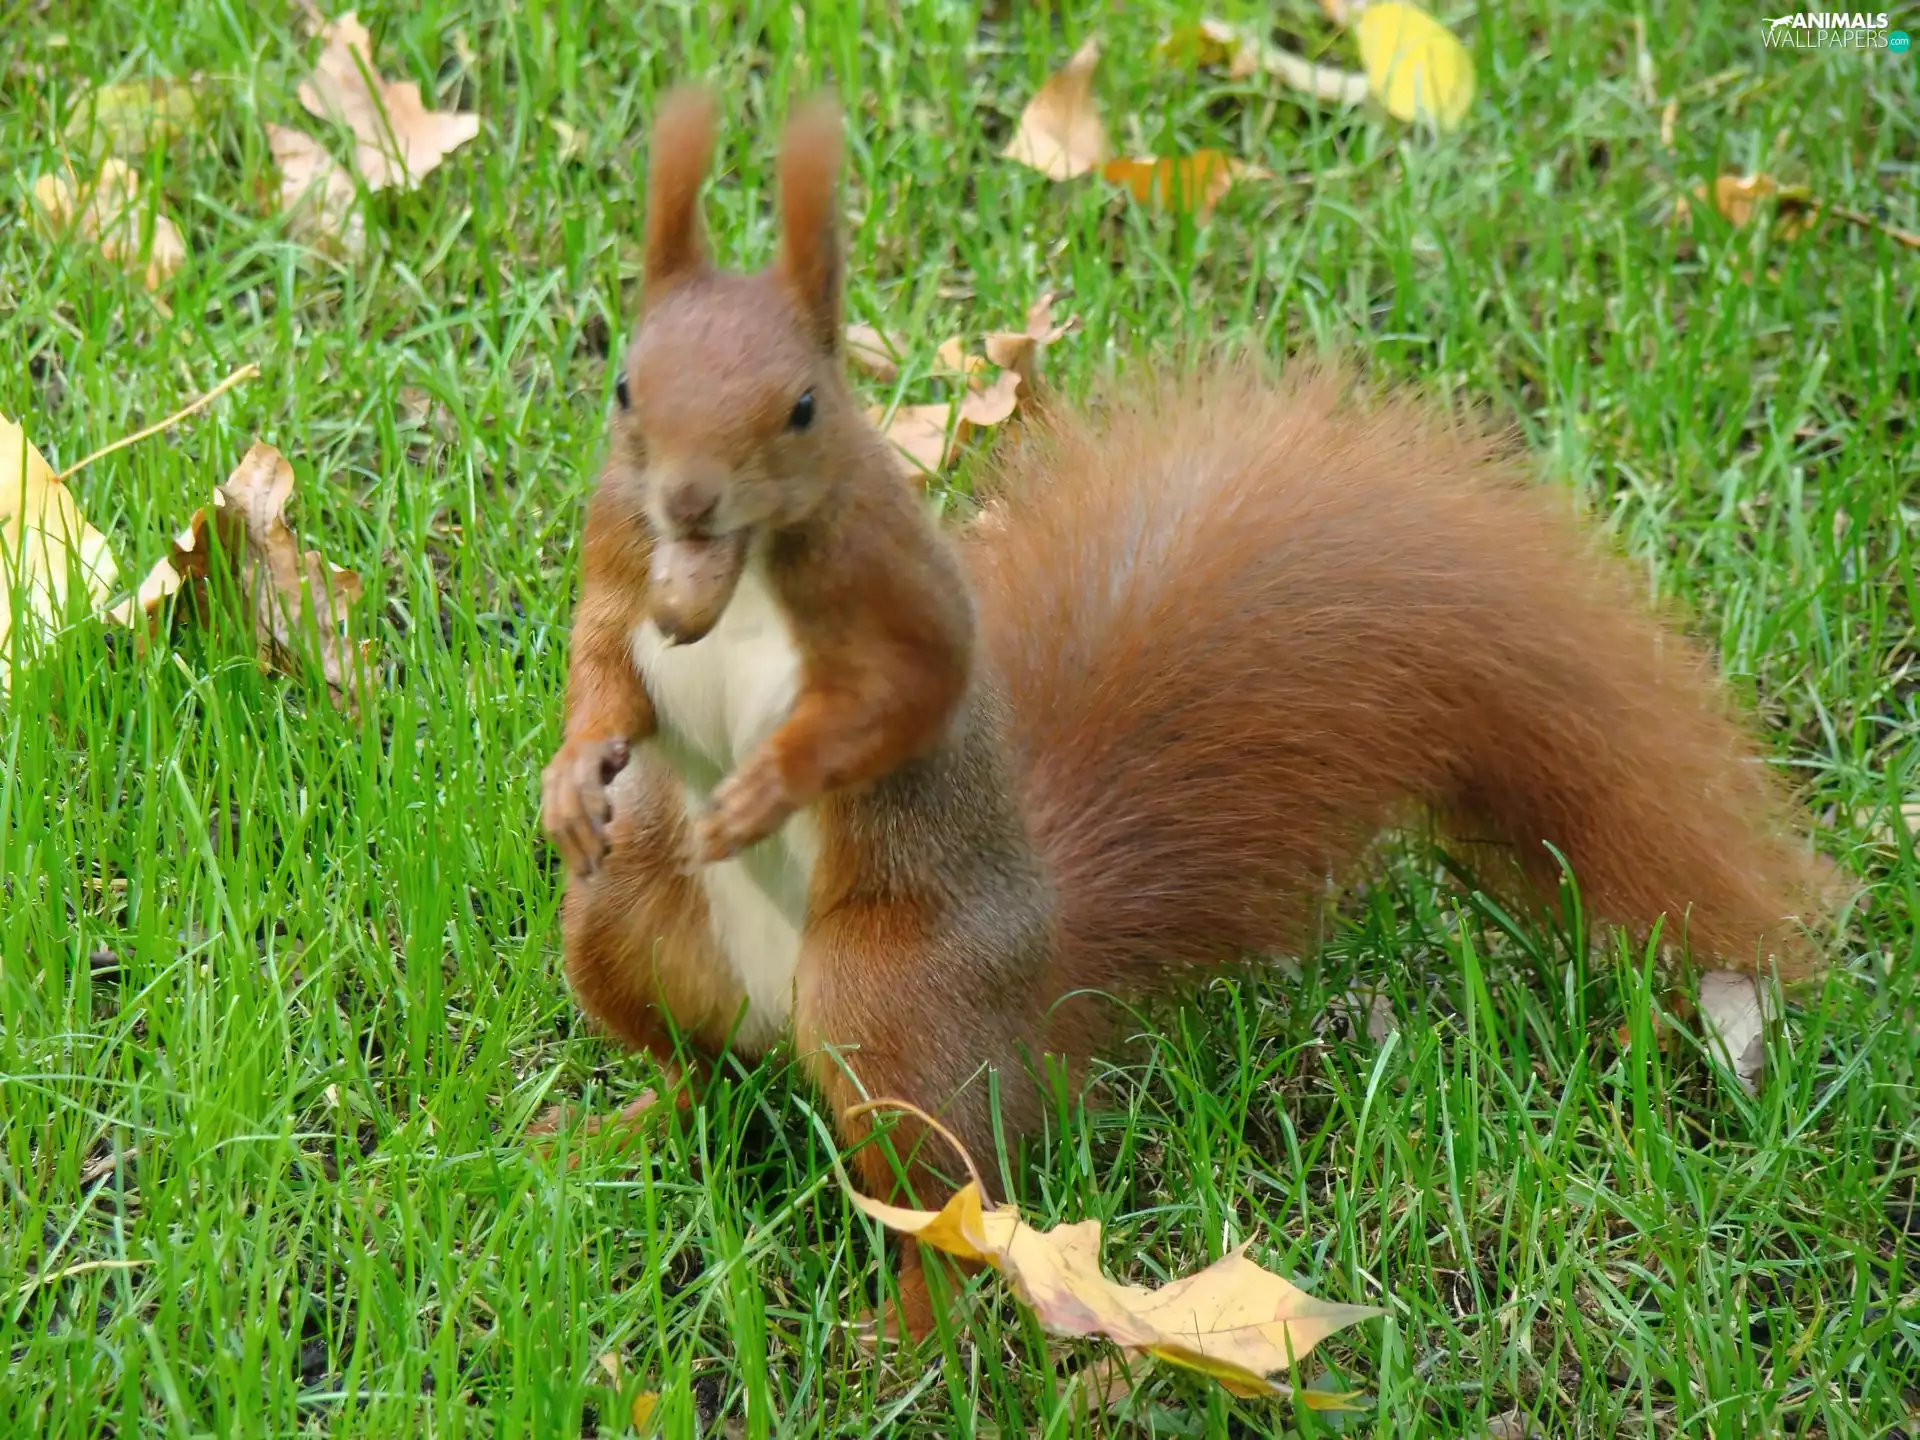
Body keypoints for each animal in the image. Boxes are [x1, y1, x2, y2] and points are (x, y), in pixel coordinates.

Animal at [535, 85, 1831, 1340]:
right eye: (624, 388)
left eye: (804, 408)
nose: (688, 504)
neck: (736, 566)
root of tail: (1037, 993)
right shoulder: (617, 554)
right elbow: (601, 658)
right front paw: (570, 774)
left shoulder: (895, 595)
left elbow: (901, 698)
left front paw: (769, 786)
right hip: (627, 919)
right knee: (714, 1069)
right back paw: (618, 1129)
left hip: (884, 998)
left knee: (949, 1201)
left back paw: (905, 1330)